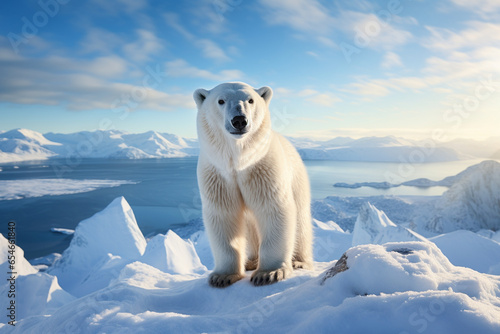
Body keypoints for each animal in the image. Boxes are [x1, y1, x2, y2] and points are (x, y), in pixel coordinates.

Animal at [192, 81, 312, 288]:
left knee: (301, 222)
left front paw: (269, 273)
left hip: (298, 179)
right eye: (221, 101)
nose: (239, 120)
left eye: (250, 100)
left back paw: (299, 262)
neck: (238, 162)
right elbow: (224, 215)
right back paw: (251, 261)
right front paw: (222, 276)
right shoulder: (218, 176)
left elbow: (273, 208)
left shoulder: (263, 169)